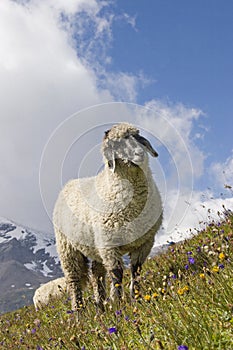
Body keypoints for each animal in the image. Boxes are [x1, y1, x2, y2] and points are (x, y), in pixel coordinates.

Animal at [53, 122, 163, 312]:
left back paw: (101, 304)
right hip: (68, 249)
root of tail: (69, 184)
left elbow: (136, 270)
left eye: (137, 137)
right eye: (116, 143)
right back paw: (79, 312)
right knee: (74, 281)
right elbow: (117, 274)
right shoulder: (109, 245)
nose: (140, 153)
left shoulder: (144, 242)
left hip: (95, 248)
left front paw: (136, 297)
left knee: (96, 273)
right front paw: (118, 302)